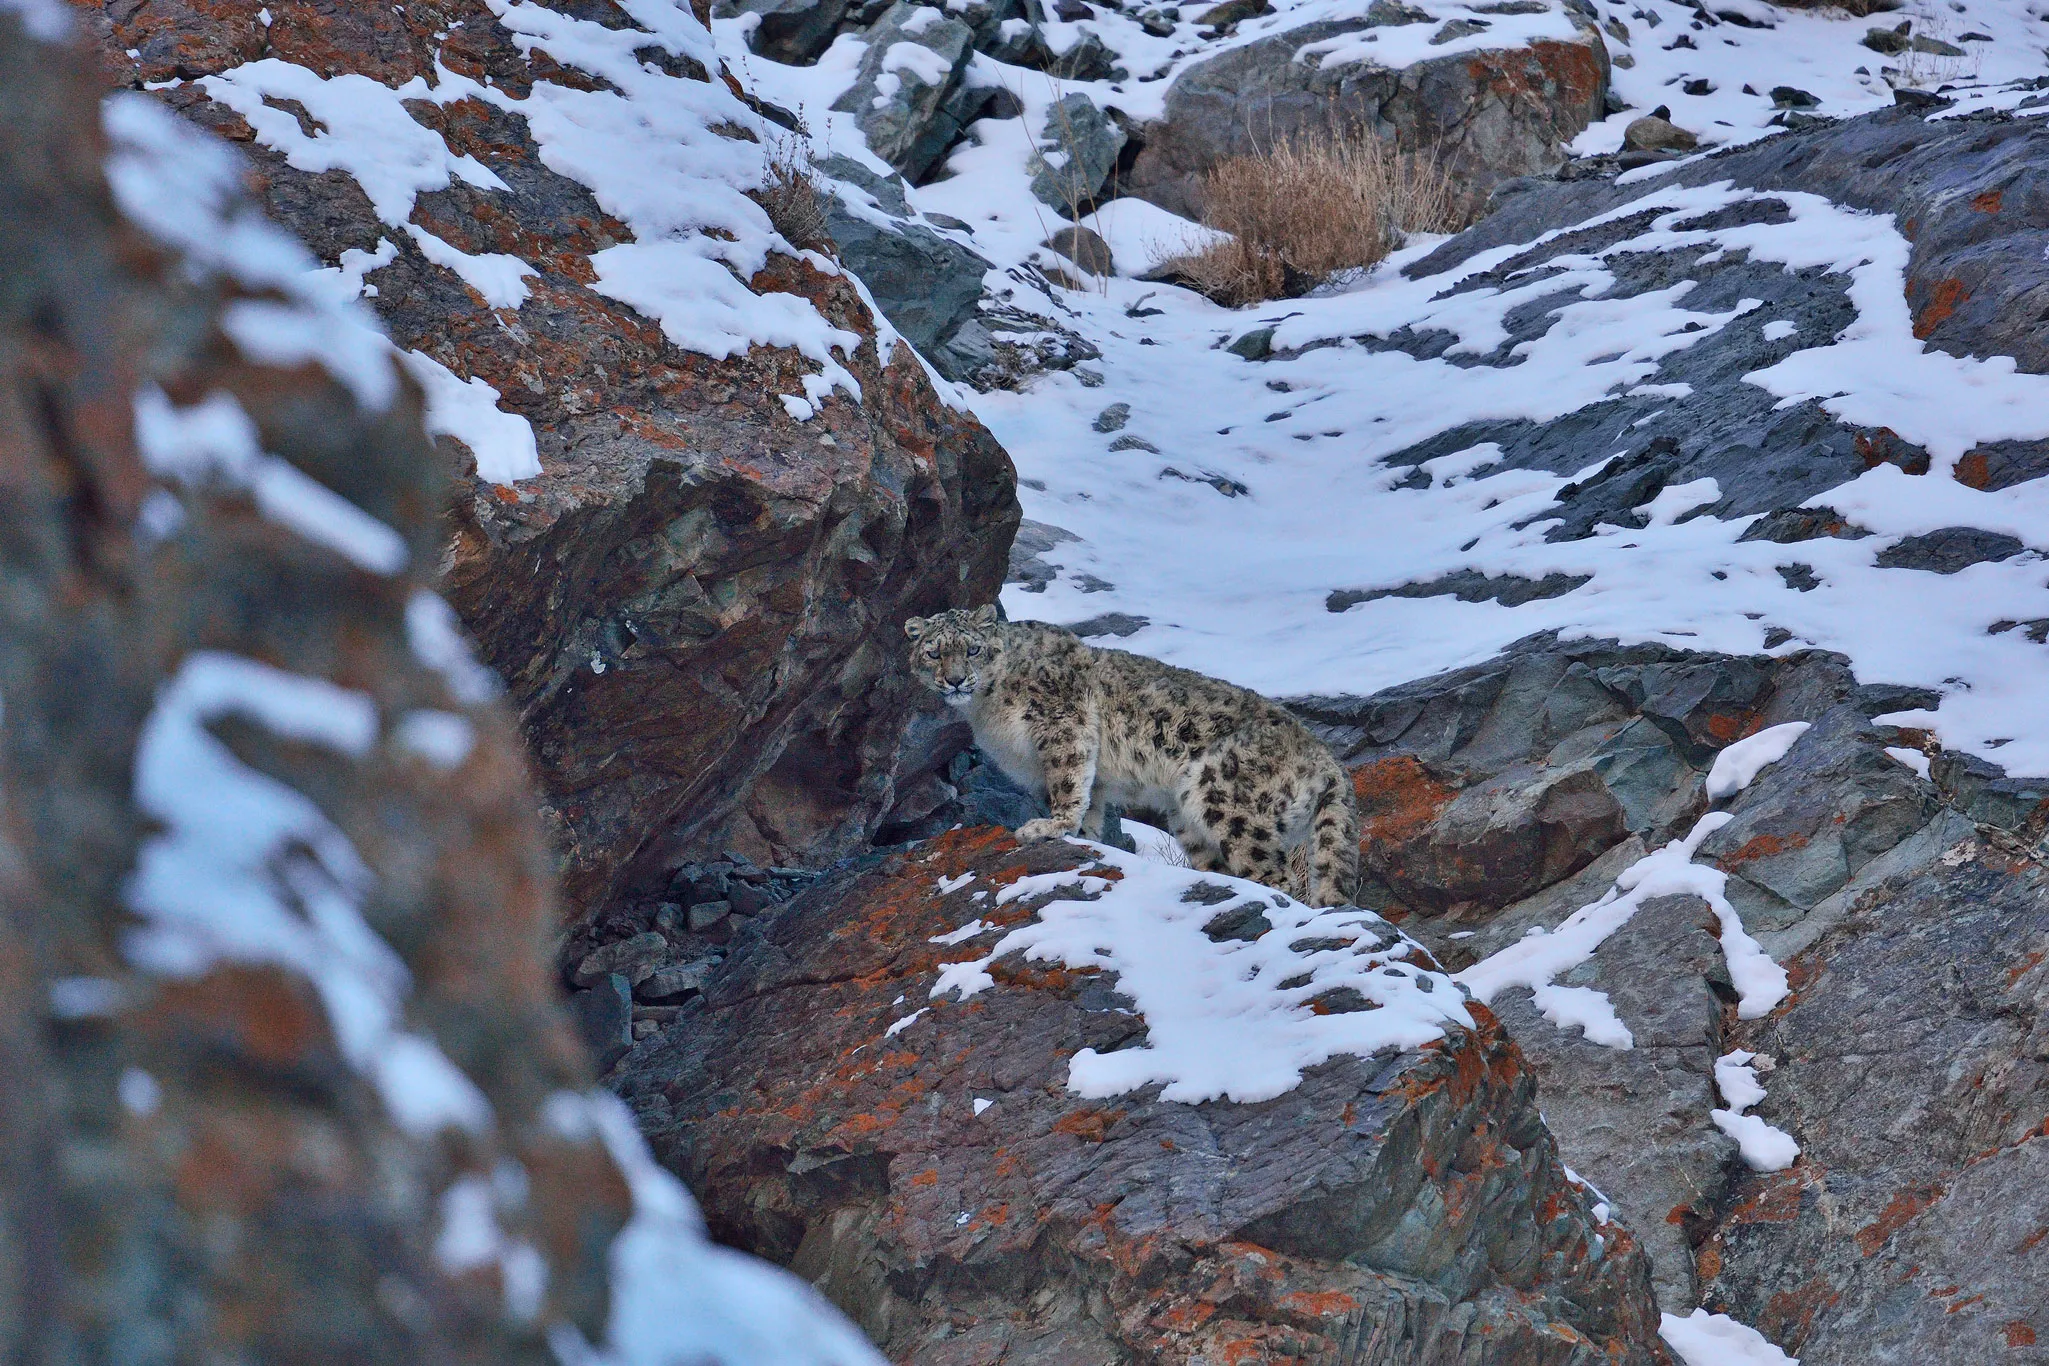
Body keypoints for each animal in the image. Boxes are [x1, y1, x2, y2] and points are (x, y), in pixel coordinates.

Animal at [909, 610, 1360, 909]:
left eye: (973, 649)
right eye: (933, 653)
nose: (954, 680)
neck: (986, 710)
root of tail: (1325, 756)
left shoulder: (1062, 725)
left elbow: (1068, 782)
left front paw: (1047, 827)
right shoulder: (1094, 778)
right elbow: (1090, 801)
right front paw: (1085, 837)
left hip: (1225, 796)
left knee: (1276, 873)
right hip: (1187, 818)